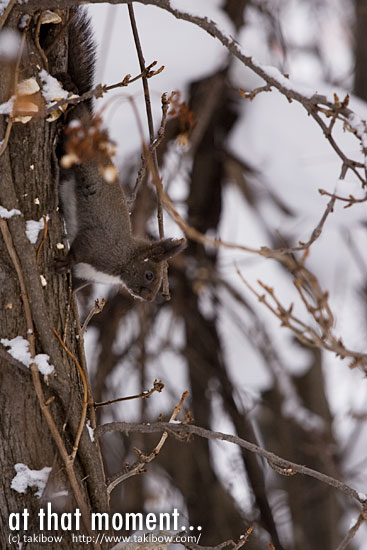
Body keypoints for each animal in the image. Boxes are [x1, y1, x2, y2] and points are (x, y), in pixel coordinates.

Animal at [54, 8, 187, 302]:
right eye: (149, 275)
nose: (148, 298)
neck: (123, 260)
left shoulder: (86, 274)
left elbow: (76, 279)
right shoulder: (99, 246)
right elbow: (80, 249)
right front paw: (65, 260)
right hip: (76, 139)